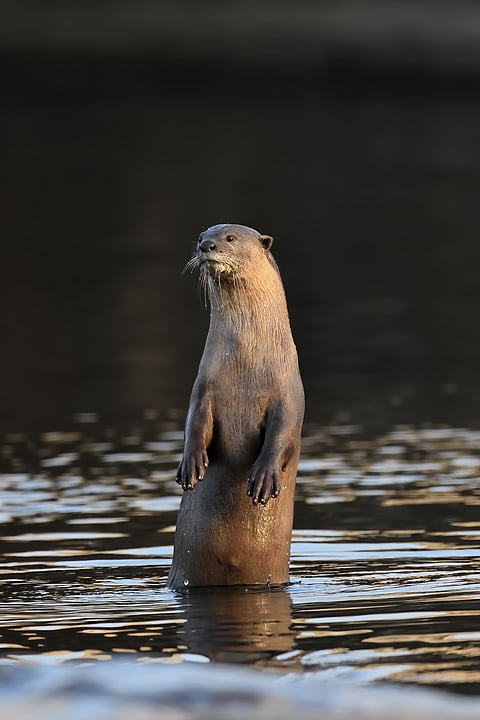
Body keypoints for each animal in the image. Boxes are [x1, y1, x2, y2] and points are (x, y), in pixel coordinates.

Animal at [168, 224, 304, 589]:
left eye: (230, 238)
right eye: (201, 235)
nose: (206, 245)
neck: (247, 360)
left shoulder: (289, 393)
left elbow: (283, 434)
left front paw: (263, 477)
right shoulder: (204, 386)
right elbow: (195, 423)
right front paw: (191, 463)